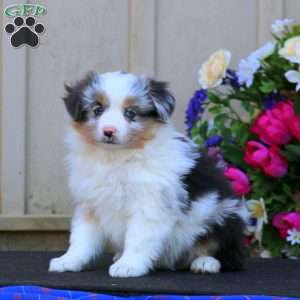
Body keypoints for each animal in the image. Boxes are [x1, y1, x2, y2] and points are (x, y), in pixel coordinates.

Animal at [48, 71, 247, 278]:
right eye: (97, 110)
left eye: (130, 113)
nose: (109, 131)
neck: (116, 157)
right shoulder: (90, 204)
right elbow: (81, 238)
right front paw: (68, 261)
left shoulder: (149, 204)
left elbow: (138, 238)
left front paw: (128, 265)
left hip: (224, 216)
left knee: (224, 252)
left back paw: (205, 263)